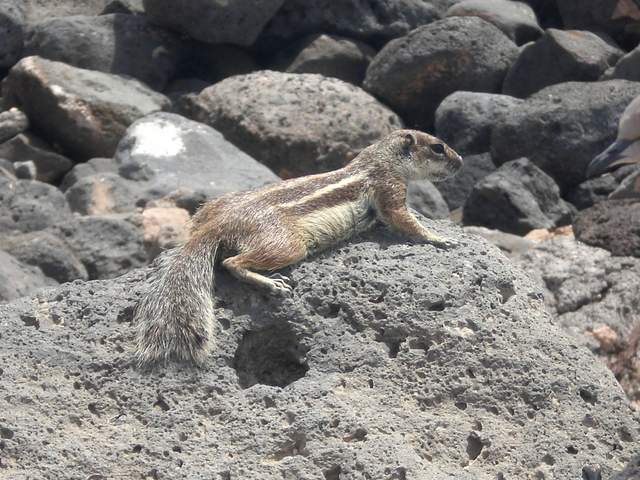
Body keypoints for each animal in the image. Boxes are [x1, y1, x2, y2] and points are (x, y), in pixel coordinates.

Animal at [134, 129, 463, 367]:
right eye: (438, 147)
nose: (460, 162)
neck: (379, 159)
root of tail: (216, 226)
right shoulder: (388, 188)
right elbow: (404, 219)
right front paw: (439, 238)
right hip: (287, 244)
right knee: (233, 264)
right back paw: (272, 284)